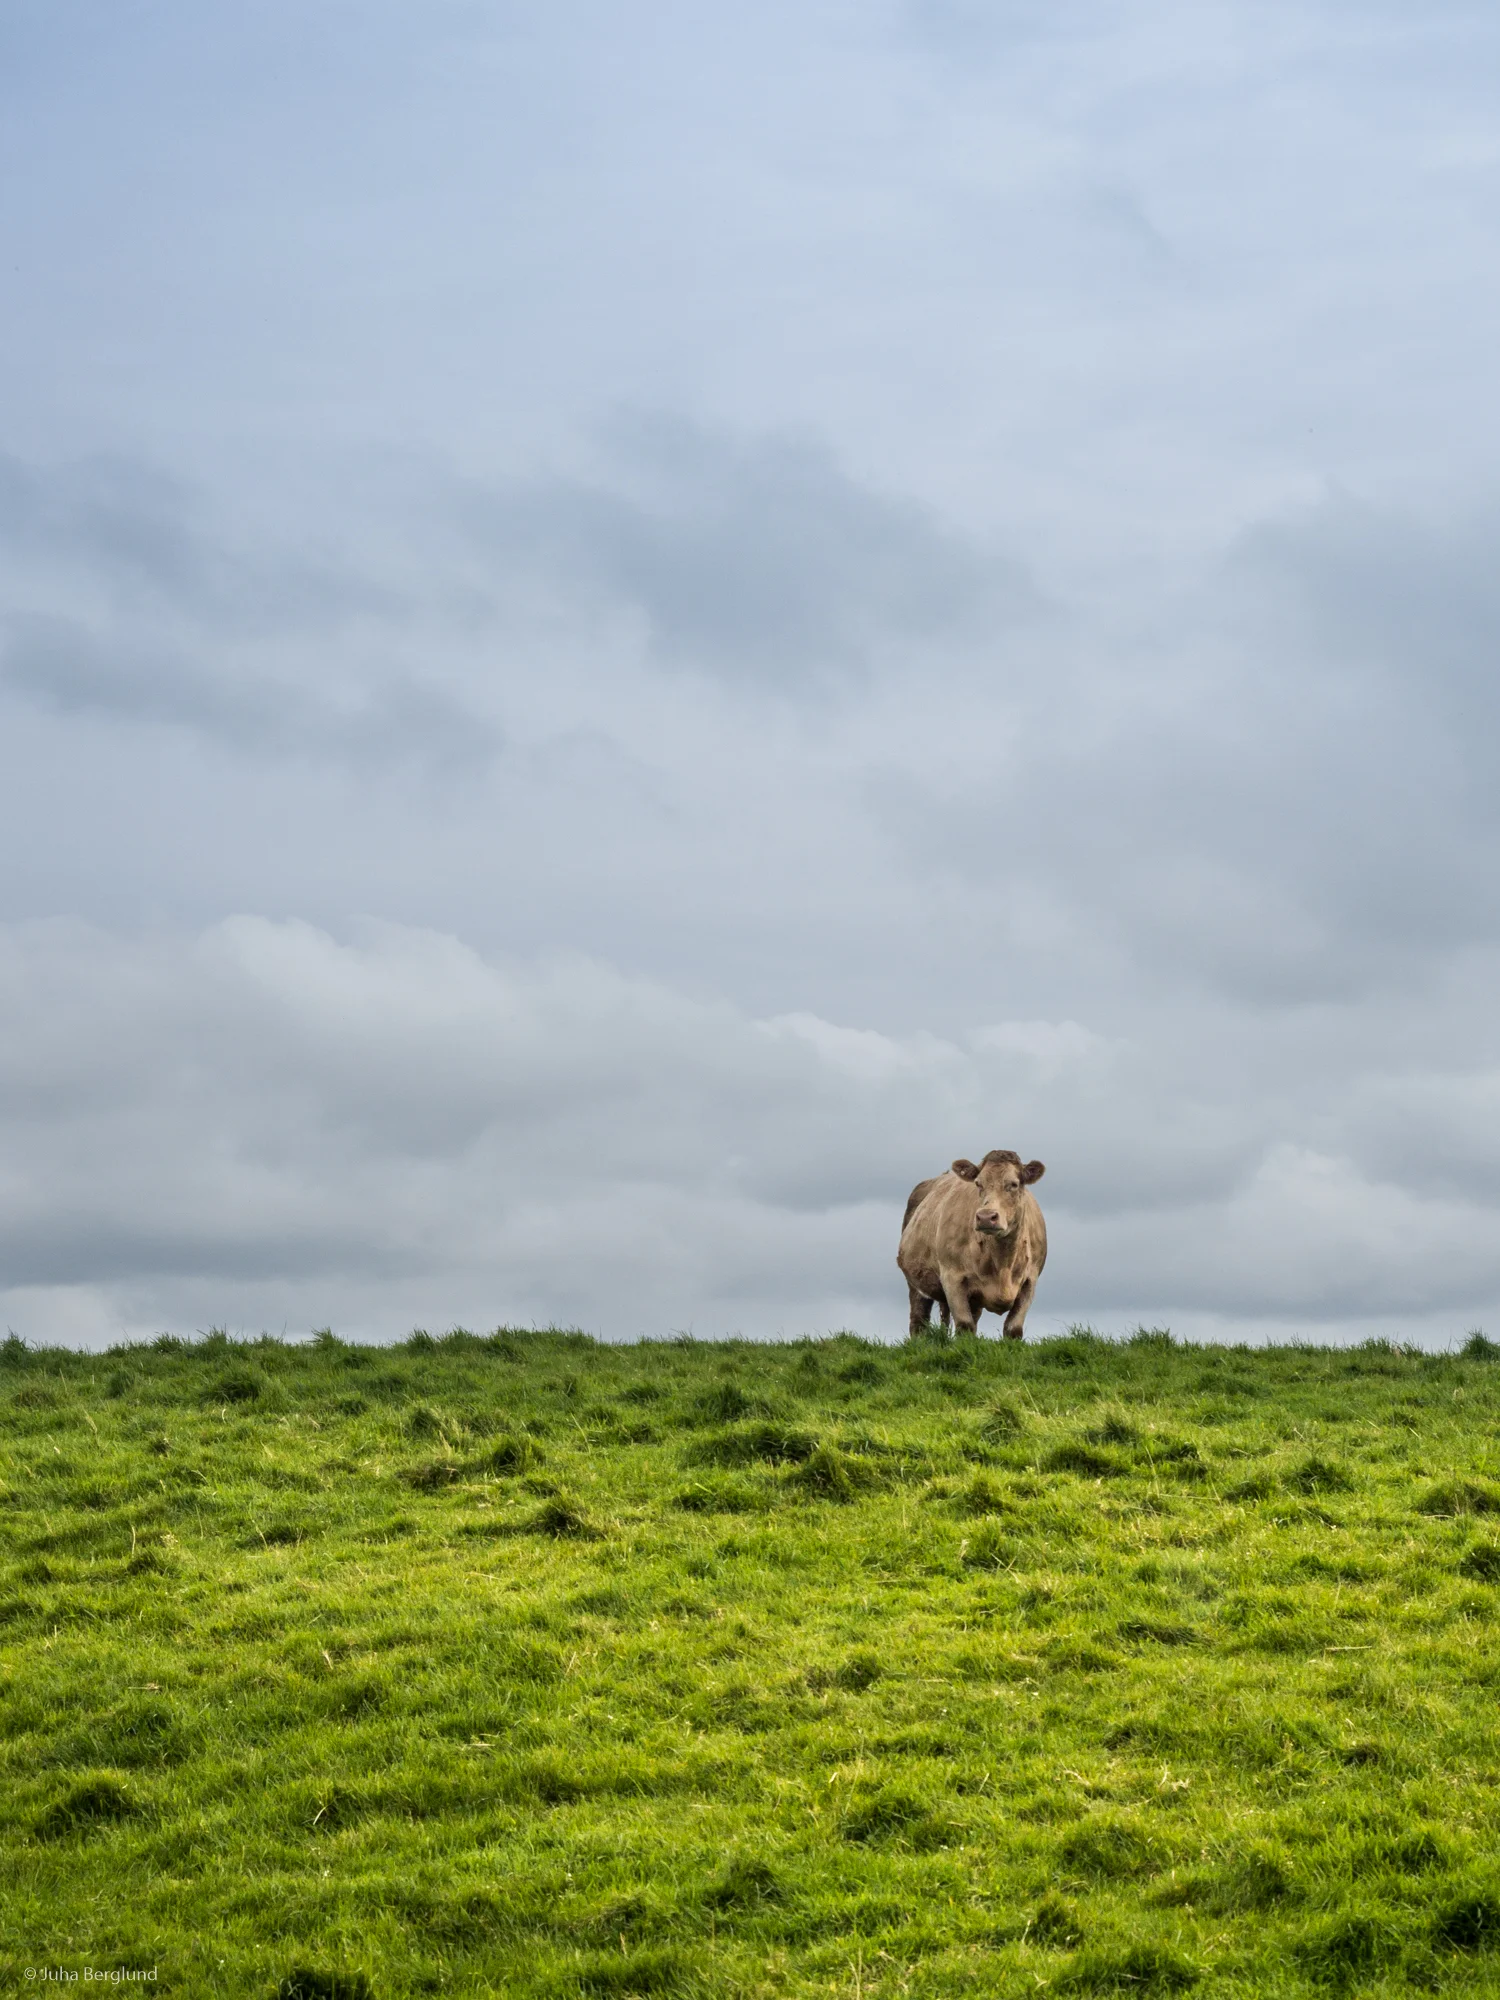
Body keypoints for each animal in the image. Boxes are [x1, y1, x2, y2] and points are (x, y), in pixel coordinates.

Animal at [897, 1150, 1047, 1340]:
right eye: (978, 1183)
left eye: (1014, 1184)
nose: (986, 1216)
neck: (1002, 1262)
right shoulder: (952, 1277)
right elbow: (964, 1326)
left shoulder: (1030, 1280)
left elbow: (1013, 1328)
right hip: (916, 1284)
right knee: (918, 1323)